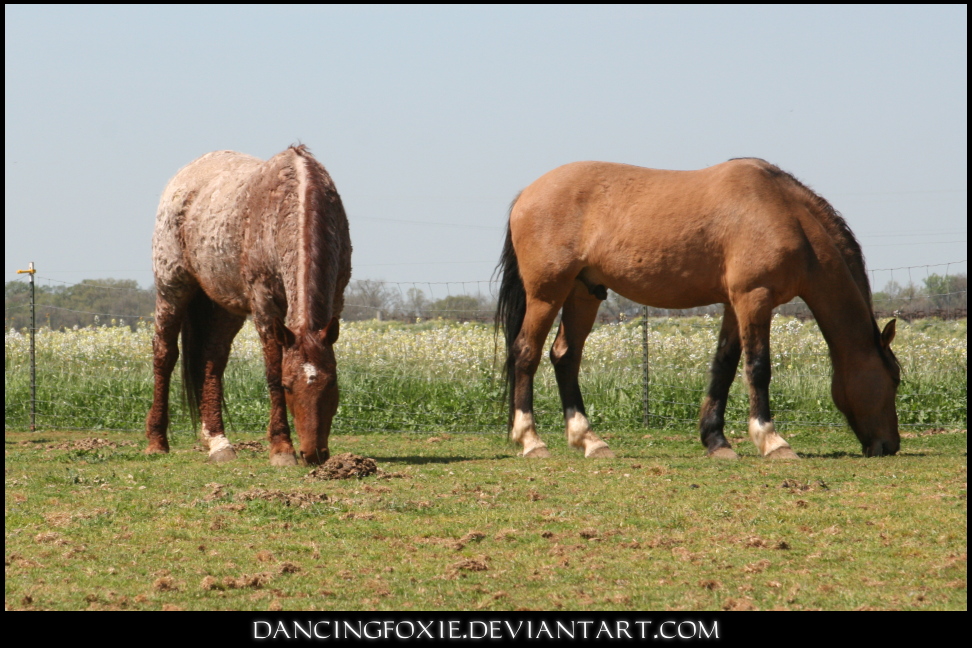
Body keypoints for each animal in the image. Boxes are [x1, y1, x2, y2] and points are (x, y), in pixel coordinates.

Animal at [146, 144, 352, 464]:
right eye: (288, 386)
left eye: (331, 383)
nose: (313, 454)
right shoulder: (265, 305)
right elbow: (272, 370)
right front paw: (281, 448)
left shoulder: (336, 299)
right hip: (172, 288)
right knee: (164, 354)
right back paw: (157, 441)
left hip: (225, 306)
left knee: (212, 362)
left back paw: (218, 442)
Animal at [498, 159, 900, 458]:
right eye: (895, 378)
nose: (890, 445)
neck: (785, 213)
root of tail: (525, 195)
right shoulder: (755, 297)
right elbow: (758, 367)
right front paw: (772, 441)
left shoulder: (734, 303)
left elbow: (724, 366)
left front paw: (716, 441)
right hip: (547, 294)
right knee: (526, 353)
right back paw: (531, 440)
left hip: (583, 293)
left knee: (565, 356)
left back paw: (589, 440)